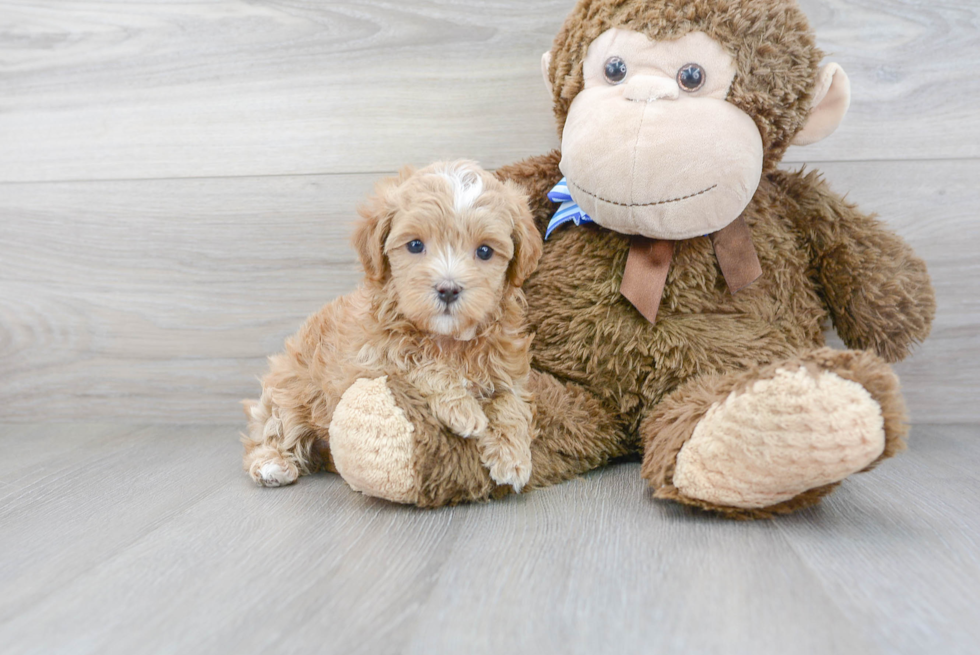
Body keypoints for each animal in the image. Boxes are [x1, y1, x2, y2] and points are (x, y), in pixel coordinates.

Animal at [239, 161, 544, 494]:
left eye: (485, 251)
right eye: (415, 245)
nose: (448, 289)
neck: (447, 339)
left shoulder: (508, 370)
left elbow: (511, 403)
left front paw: (513, 458)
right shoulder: (371, 361)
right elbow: (420, 365)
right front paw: (463, 409)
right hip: (292, 392)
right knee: (273, 429)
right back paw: (271, 464)